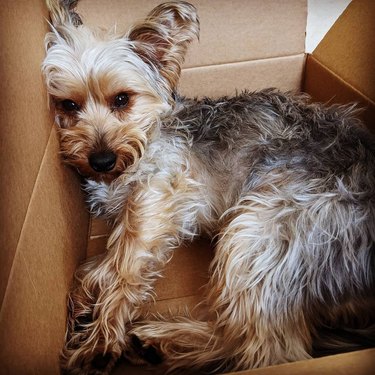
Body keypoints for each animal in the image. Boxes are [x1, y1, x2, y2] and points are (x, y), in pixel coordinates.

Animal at [41, 0, 375, 374]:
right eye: (68, 105)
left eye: (122, 99)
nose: (101, 160)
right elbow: (99, 264)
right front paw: (83, 297)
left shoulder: (159, 198)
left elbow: (124, 266)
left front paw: (100, 341)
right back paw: (156, 344)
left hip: (266, 229)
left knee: (270, 350)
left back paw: (163, 341)